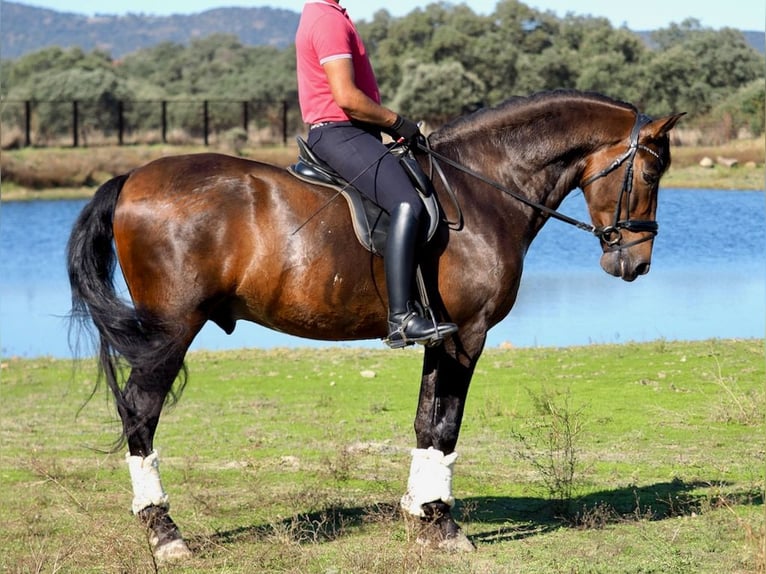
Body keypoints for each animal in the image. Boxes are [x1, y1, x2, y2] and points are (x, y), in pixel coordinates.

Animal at [67, 91, 684, 564]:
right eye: (652, 171)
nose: (636, 263)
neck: (484, 188)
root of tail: (132, 178)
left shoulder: (443, 337)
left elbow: (425, 421)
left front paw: (420, 517)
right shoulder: (467, 335)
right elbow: (445, 425)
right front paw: (444, 526)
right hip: (171, 331)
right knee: (140, 413)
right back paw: (165, 536)